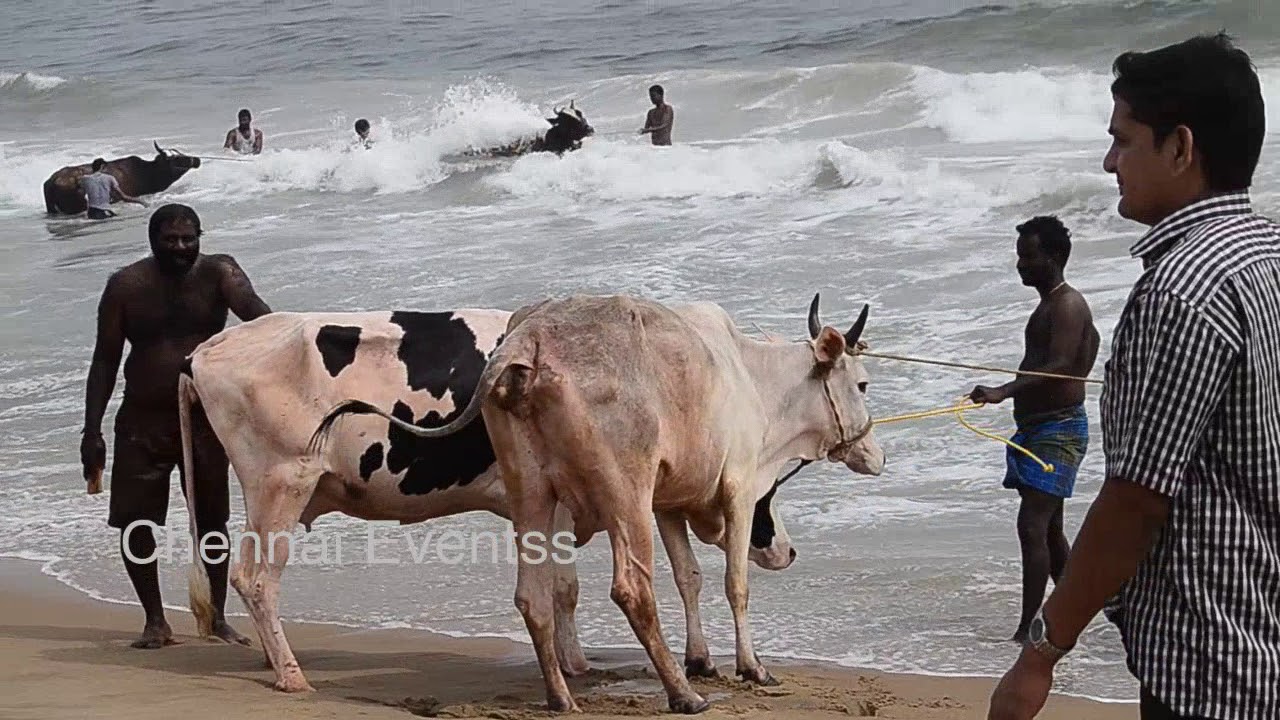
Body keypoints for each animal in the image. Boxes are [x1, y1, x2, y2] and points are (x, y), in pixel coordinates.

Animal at [175, 308, 797, 694]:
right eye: (766, 494)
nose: (788, 552)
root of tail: (206, 350)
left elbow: (559, 586)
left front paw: (573, 664)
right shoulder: (560, 502)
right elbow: (566, 588)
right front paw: (576, 664)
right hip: (281, 484)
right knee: (256, 578)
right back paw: (291, 673)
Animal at [311, 293, 886, 714]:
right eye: (861, 384)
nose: (877, 455)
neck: (750, 374)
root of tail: (529, 338)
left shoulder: (668, 504)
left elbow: (690, 579)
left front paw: (702, 659)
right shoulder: (737, 490)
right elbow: (733, 583)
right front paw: (751, 667)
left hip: (532, 494)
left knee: (533, 596)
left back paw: (563, 697)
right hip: (624, 493)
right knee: (631, 588)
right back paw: (683, 696)